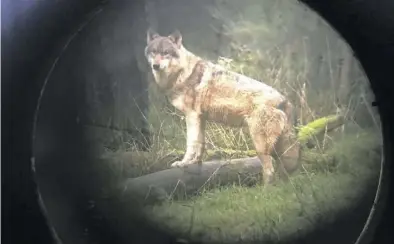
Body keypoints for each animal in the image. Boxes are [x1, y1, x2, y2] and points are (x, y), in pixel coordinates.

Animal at [145, 29, 302, 184]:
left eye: (165, 53)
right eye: (154, 52)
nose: (155, 66)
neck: (182, 73)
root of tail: (285, 101)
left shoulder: (191, 116)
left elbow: (191, 144)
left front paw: (184, 163)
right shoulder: (200, 118)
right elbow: (200, 145)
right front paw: (195, 163)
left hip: (260, 145)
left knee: (269, 171)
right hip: (276, 150)